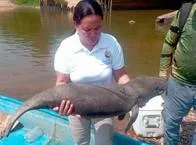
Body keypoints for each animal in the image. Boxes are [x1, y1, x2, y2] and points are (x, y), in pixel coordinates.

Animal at [0, 75, 167, 138]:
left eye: (155, 79)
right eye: (156, 85)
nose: (165, 81)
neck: (134, 88)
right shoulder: (134, 102)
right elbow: (133, 117)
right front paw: (126, 130)